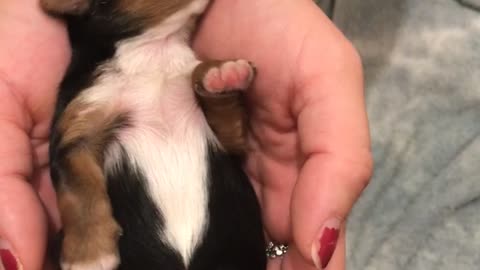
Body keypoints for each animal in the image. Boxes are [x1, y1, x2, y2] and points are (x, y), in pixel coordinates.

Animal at [40, 0, 266, 270]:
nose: (88, 254)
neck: (156, 52)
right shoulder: (79, 126)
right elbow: (77, 187)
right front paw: (89, 255)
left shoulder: (231, 144)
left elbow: (223, 110)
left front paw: (221, 75)